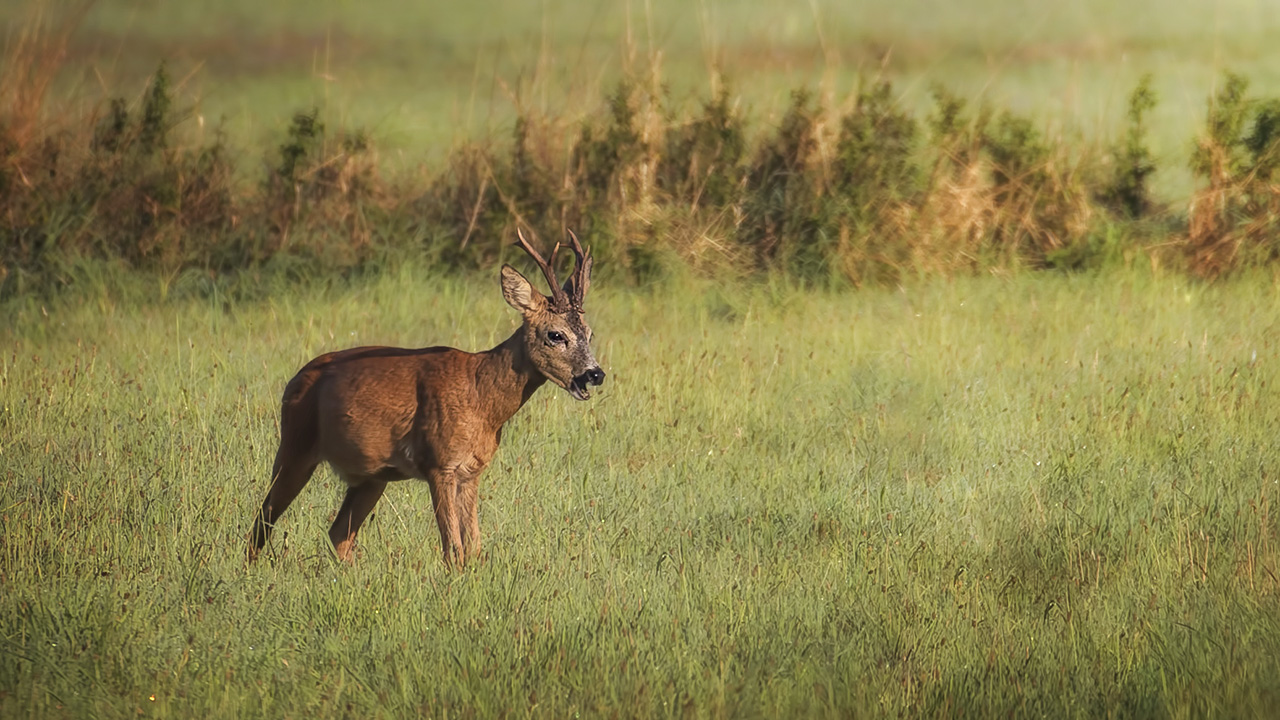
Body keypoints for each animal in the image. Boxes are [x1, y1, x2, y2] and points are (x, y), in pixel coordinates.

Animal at [254, 228, 609, 561]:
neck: (481, 398)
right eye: (556, 335)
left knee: (338, 534)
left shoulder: (471, 472)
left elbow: (474, 548)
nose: (595, 374)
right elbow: (453, 549)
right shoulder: (439, 463)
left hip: (371, 476)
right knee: (262, 520)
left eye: (590, 334)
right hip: (295, 445)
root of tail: (295, 380)